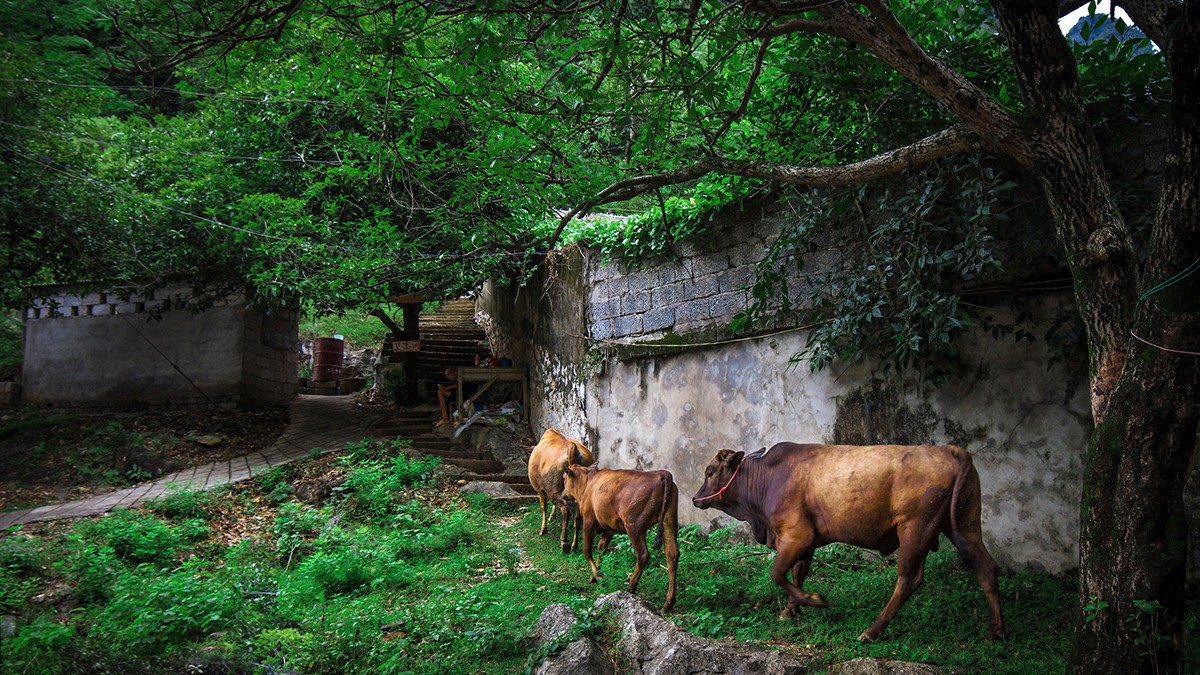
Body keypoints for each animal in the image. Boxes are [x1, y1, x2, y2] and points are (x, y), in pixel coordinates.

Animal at [559, 466, 681, 612]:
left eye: (564, 478)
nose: (562, 495)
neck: (587, 483)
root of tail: (661, 473)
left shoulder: (589, 521)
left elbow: (587, 550)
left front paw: (597, 575)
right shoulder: (609, 527)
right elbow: (601, 548)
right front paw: (595, 574)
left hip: (634, 526)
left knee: (643, 554)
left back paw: (630, 588)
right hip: (669, 521)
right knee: (672, 555)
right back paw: (668, 603)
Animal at [696, 444, 1003, 638]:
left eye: (710, 471)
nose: (695, 498)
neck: (770, 479)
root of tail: (948, 449)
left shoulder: (797, 535)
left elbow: (778, 573)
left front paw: (814, 600)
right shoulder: (806, 542)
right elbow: (797, 573)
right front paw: (791, 610)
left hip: (915, 530)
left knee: (909, 579)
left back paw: (871, 631)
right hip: (963, 527)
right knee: (986, 568)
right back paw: (994, 632)